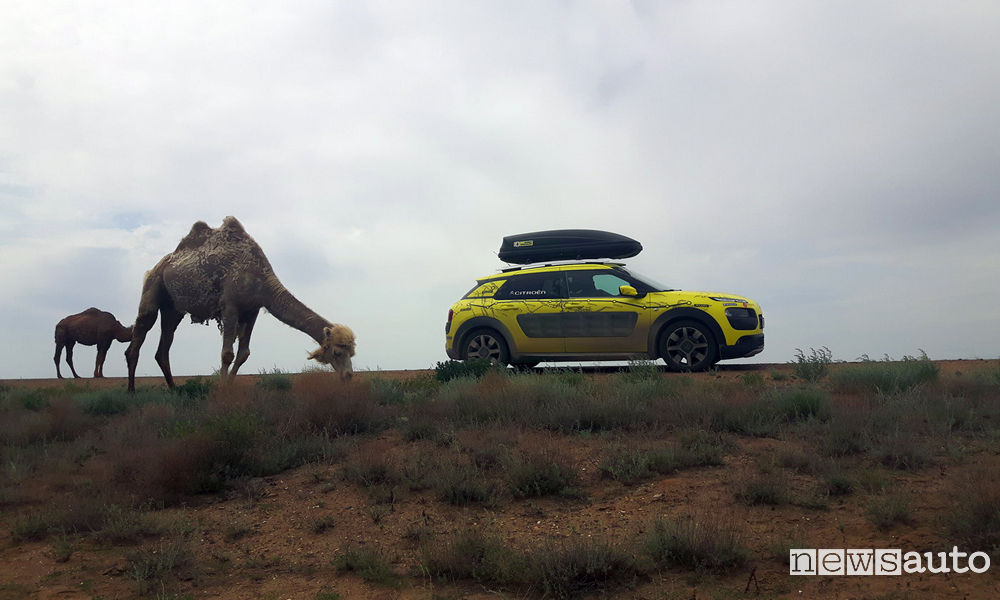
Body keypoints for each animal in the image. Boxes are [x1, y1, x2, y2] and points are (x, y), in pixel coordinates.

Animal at [125, 216, 355, 392]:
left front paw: (228, 385)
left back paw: (174, 389)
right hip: (152, 288)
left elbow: (244, 353)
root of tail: (159, 265)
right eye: (337, 352)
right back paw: (131, 391)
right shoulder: (230, 307)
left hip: (173, 309)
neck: (261, 279)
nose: (349, 376)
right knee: (139, 334)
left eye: (352, 353)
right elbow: (227, 353)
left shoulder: (251, 310)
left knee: (164, 345)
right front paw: (221, 389)